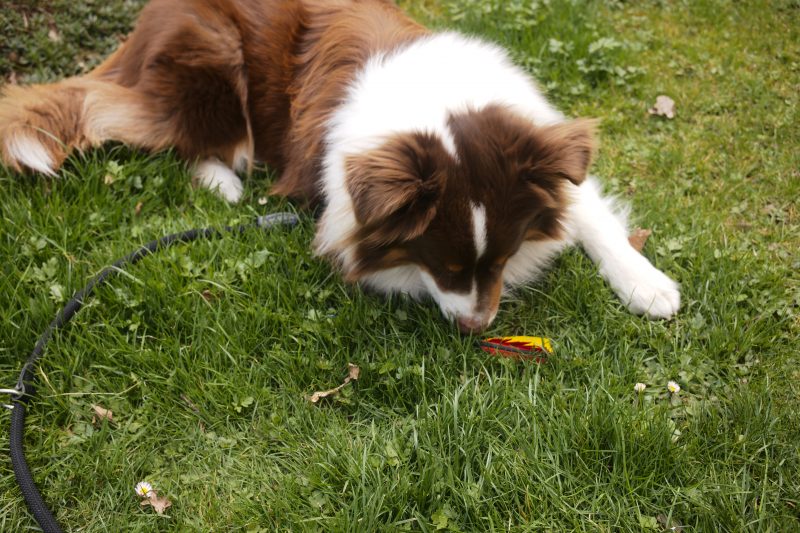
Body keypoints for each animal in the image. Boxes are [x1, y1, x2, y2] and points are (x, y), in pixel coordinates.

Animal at [0, 0, 680, 333]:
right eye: (446, 265)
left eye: (504, 255)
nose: (476, 328)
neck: (436, 104)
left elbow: (591, 214)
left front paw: (646, 284)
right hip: (211, 56)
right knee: (180, 135)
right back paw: (223, 181)